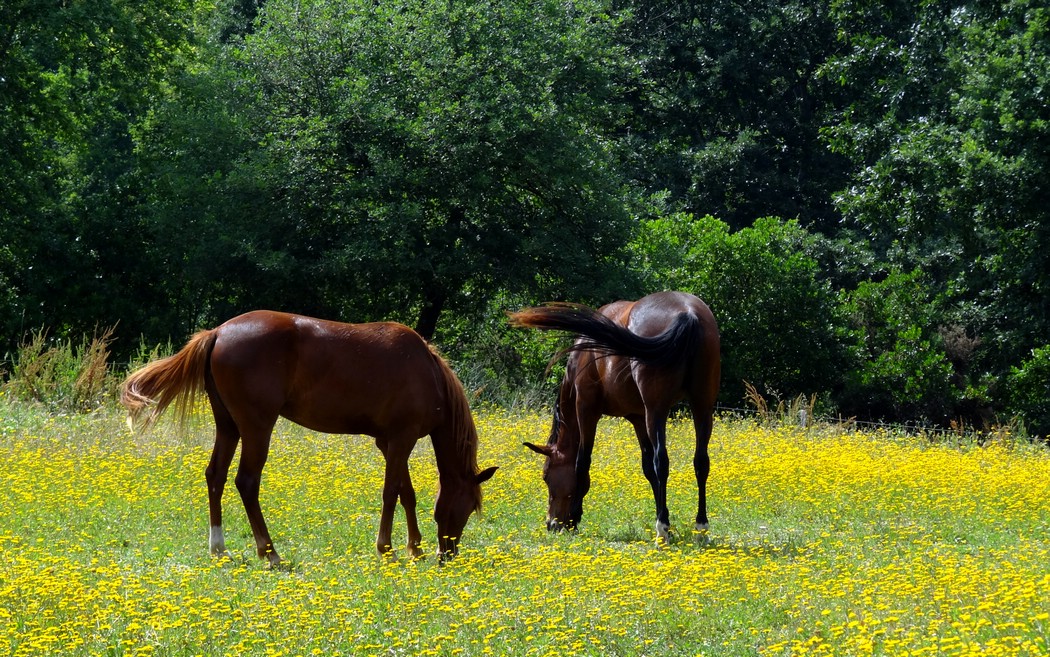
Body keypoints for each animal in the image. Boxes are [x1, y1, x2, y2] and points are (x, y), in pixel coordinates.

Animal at [120, 308, 497, 562]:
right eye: (467, 507)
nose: (448, 554)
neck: (426, 371)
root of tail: (219, 332)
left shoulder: (389, 442)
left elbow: (407, 493)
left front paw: (414, 548)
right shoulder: (401, 439)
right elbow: (392, 493)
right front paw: (387, 548)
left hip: (228, 426)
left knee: (216, 476)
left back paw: (219, 548)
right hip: (257, 427)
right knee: (246, 482)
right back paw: (269, 552)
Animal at [508, 291, 722, 541]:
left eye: (545, 476)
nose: (551, 524)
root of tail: (688, 314)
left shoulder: (586, 409)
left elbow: (583, 462)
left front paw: (575, 519)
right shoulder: (638, 418)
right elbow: (648, 468)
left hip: (657, 411)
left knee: (662, 461)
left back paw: (662, 529)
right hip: (702, 407)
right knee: (701, 462)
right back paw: (700, 527)